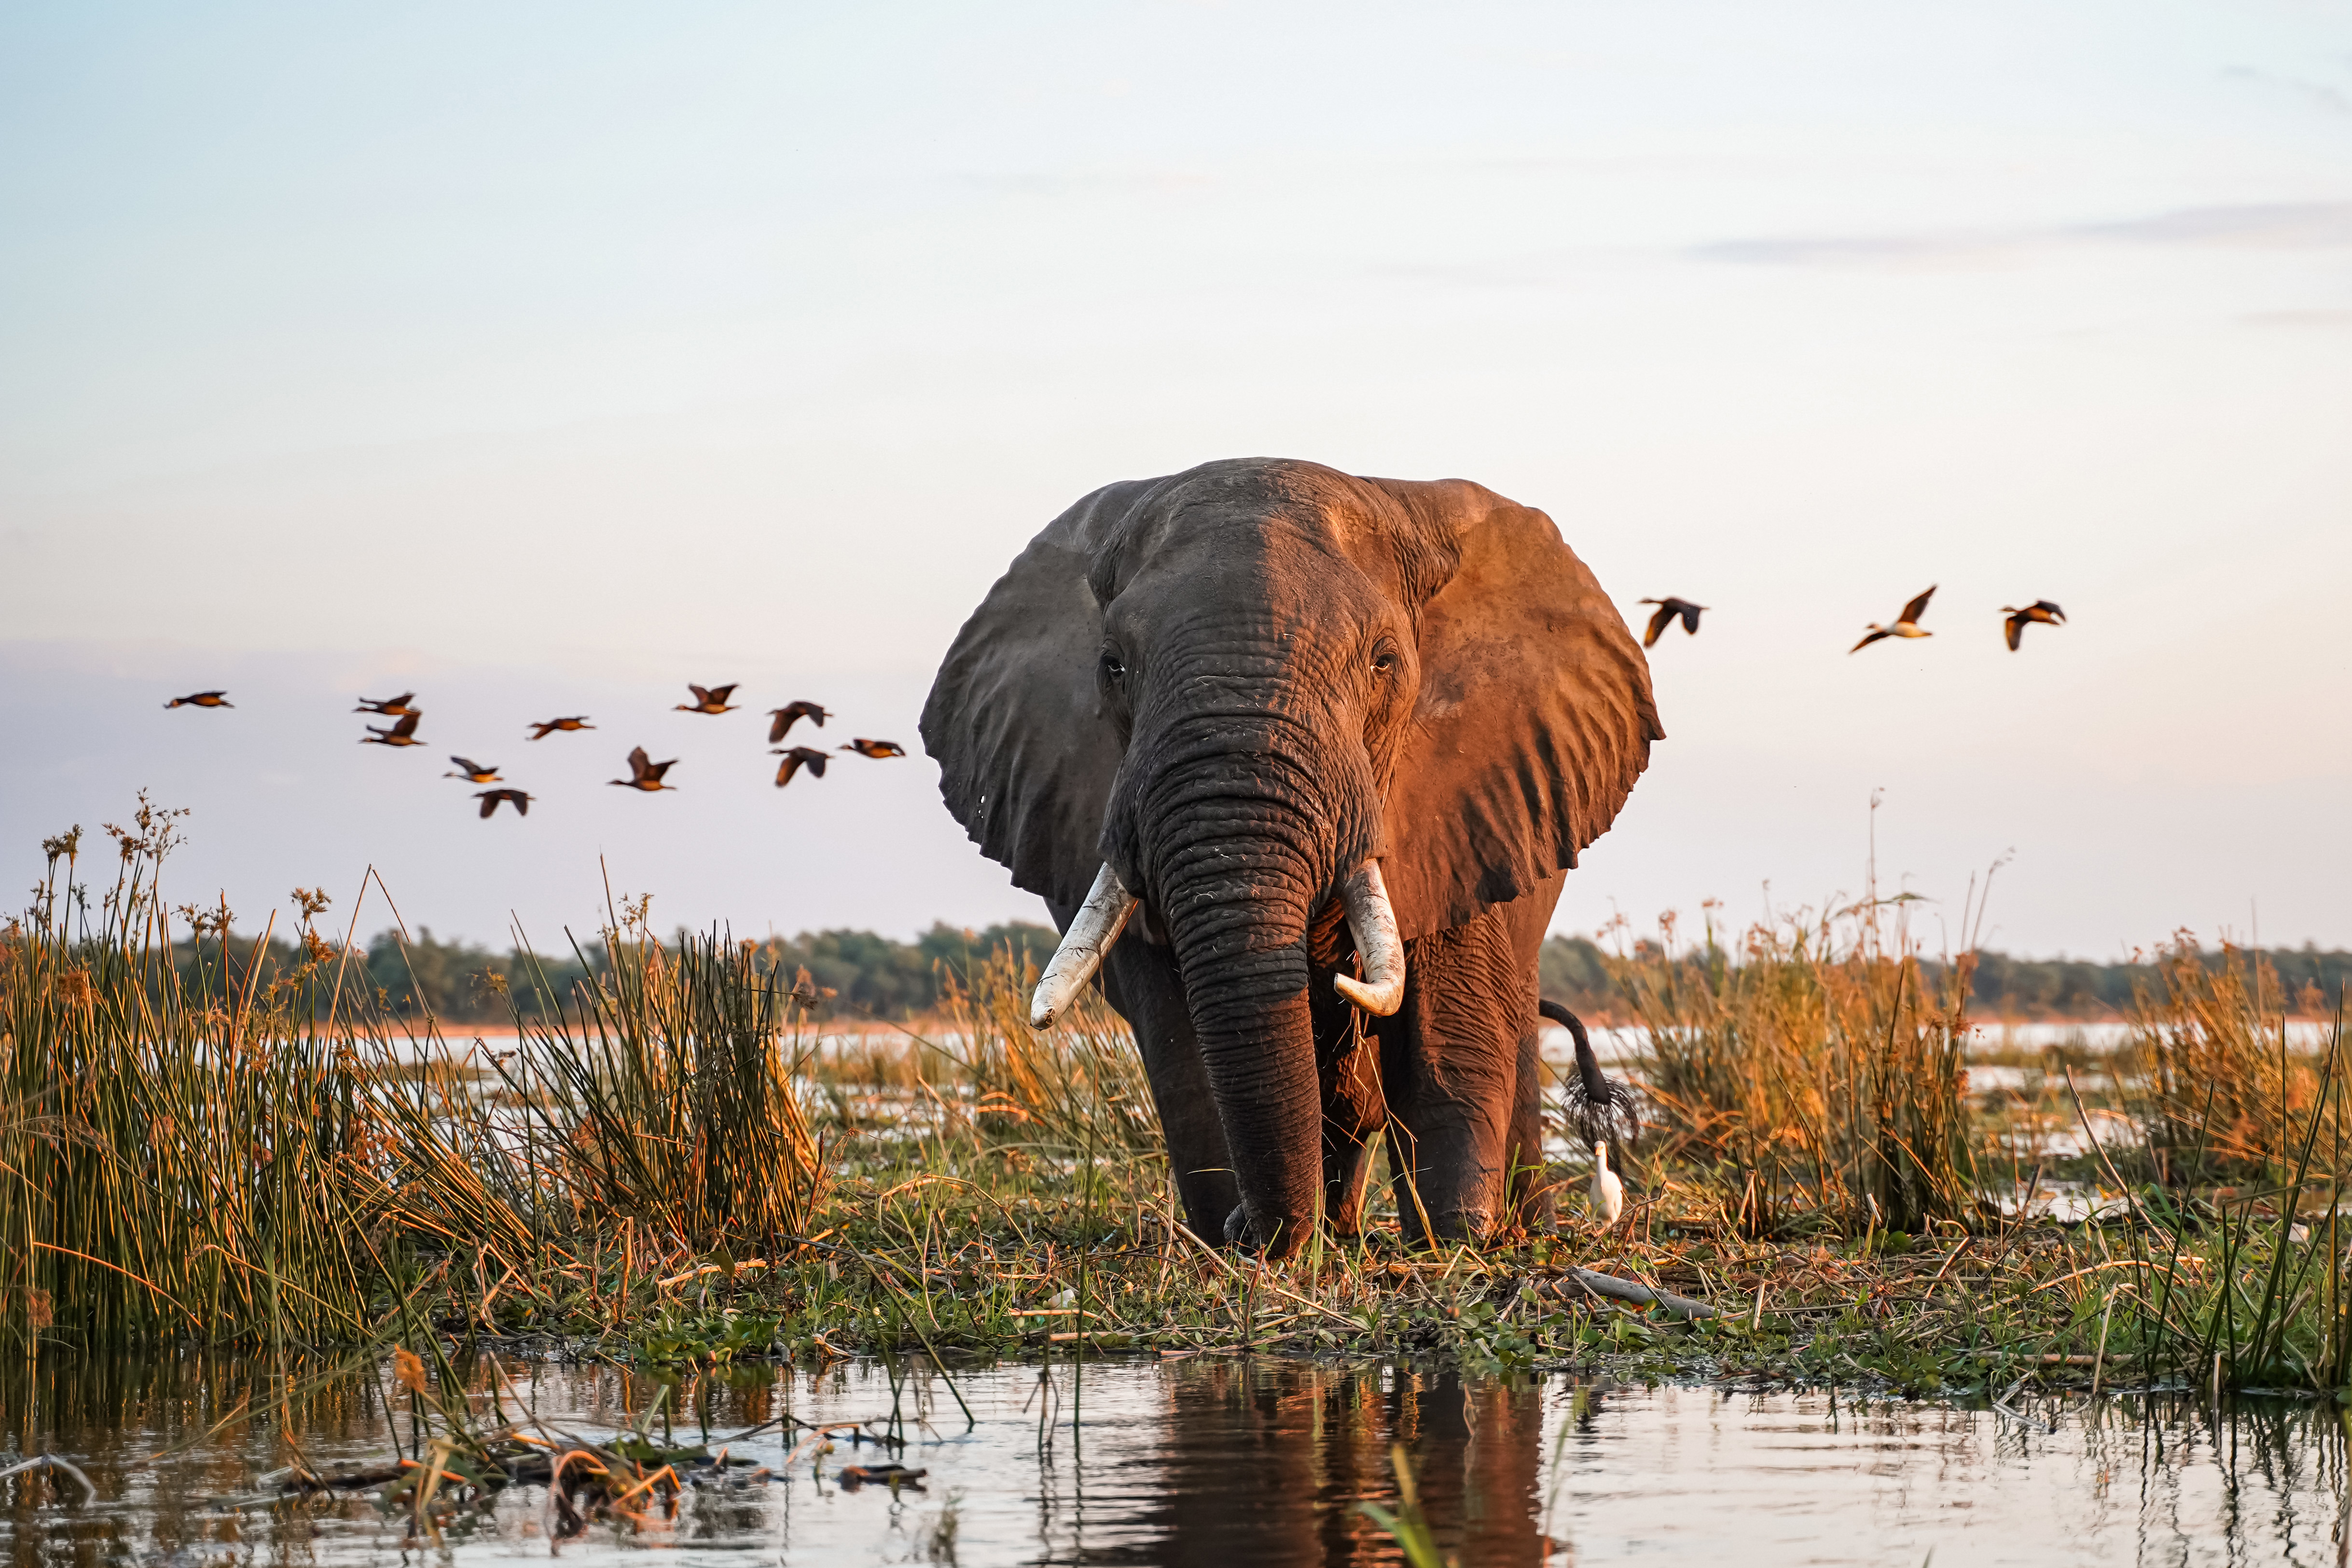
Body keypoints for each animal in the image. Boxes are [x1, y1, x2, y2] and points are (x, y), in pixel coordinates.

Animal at [920, 458, 1660, 1257]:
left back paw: (1510, 1235)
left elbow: (1447, 1035)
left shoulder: (1478, 797)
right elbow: (1183, 1051)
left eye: (1382, 662)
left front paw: (1452, 1247)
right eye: (1112, 667)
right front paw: (1235, 1246)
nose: (1253, 1232)